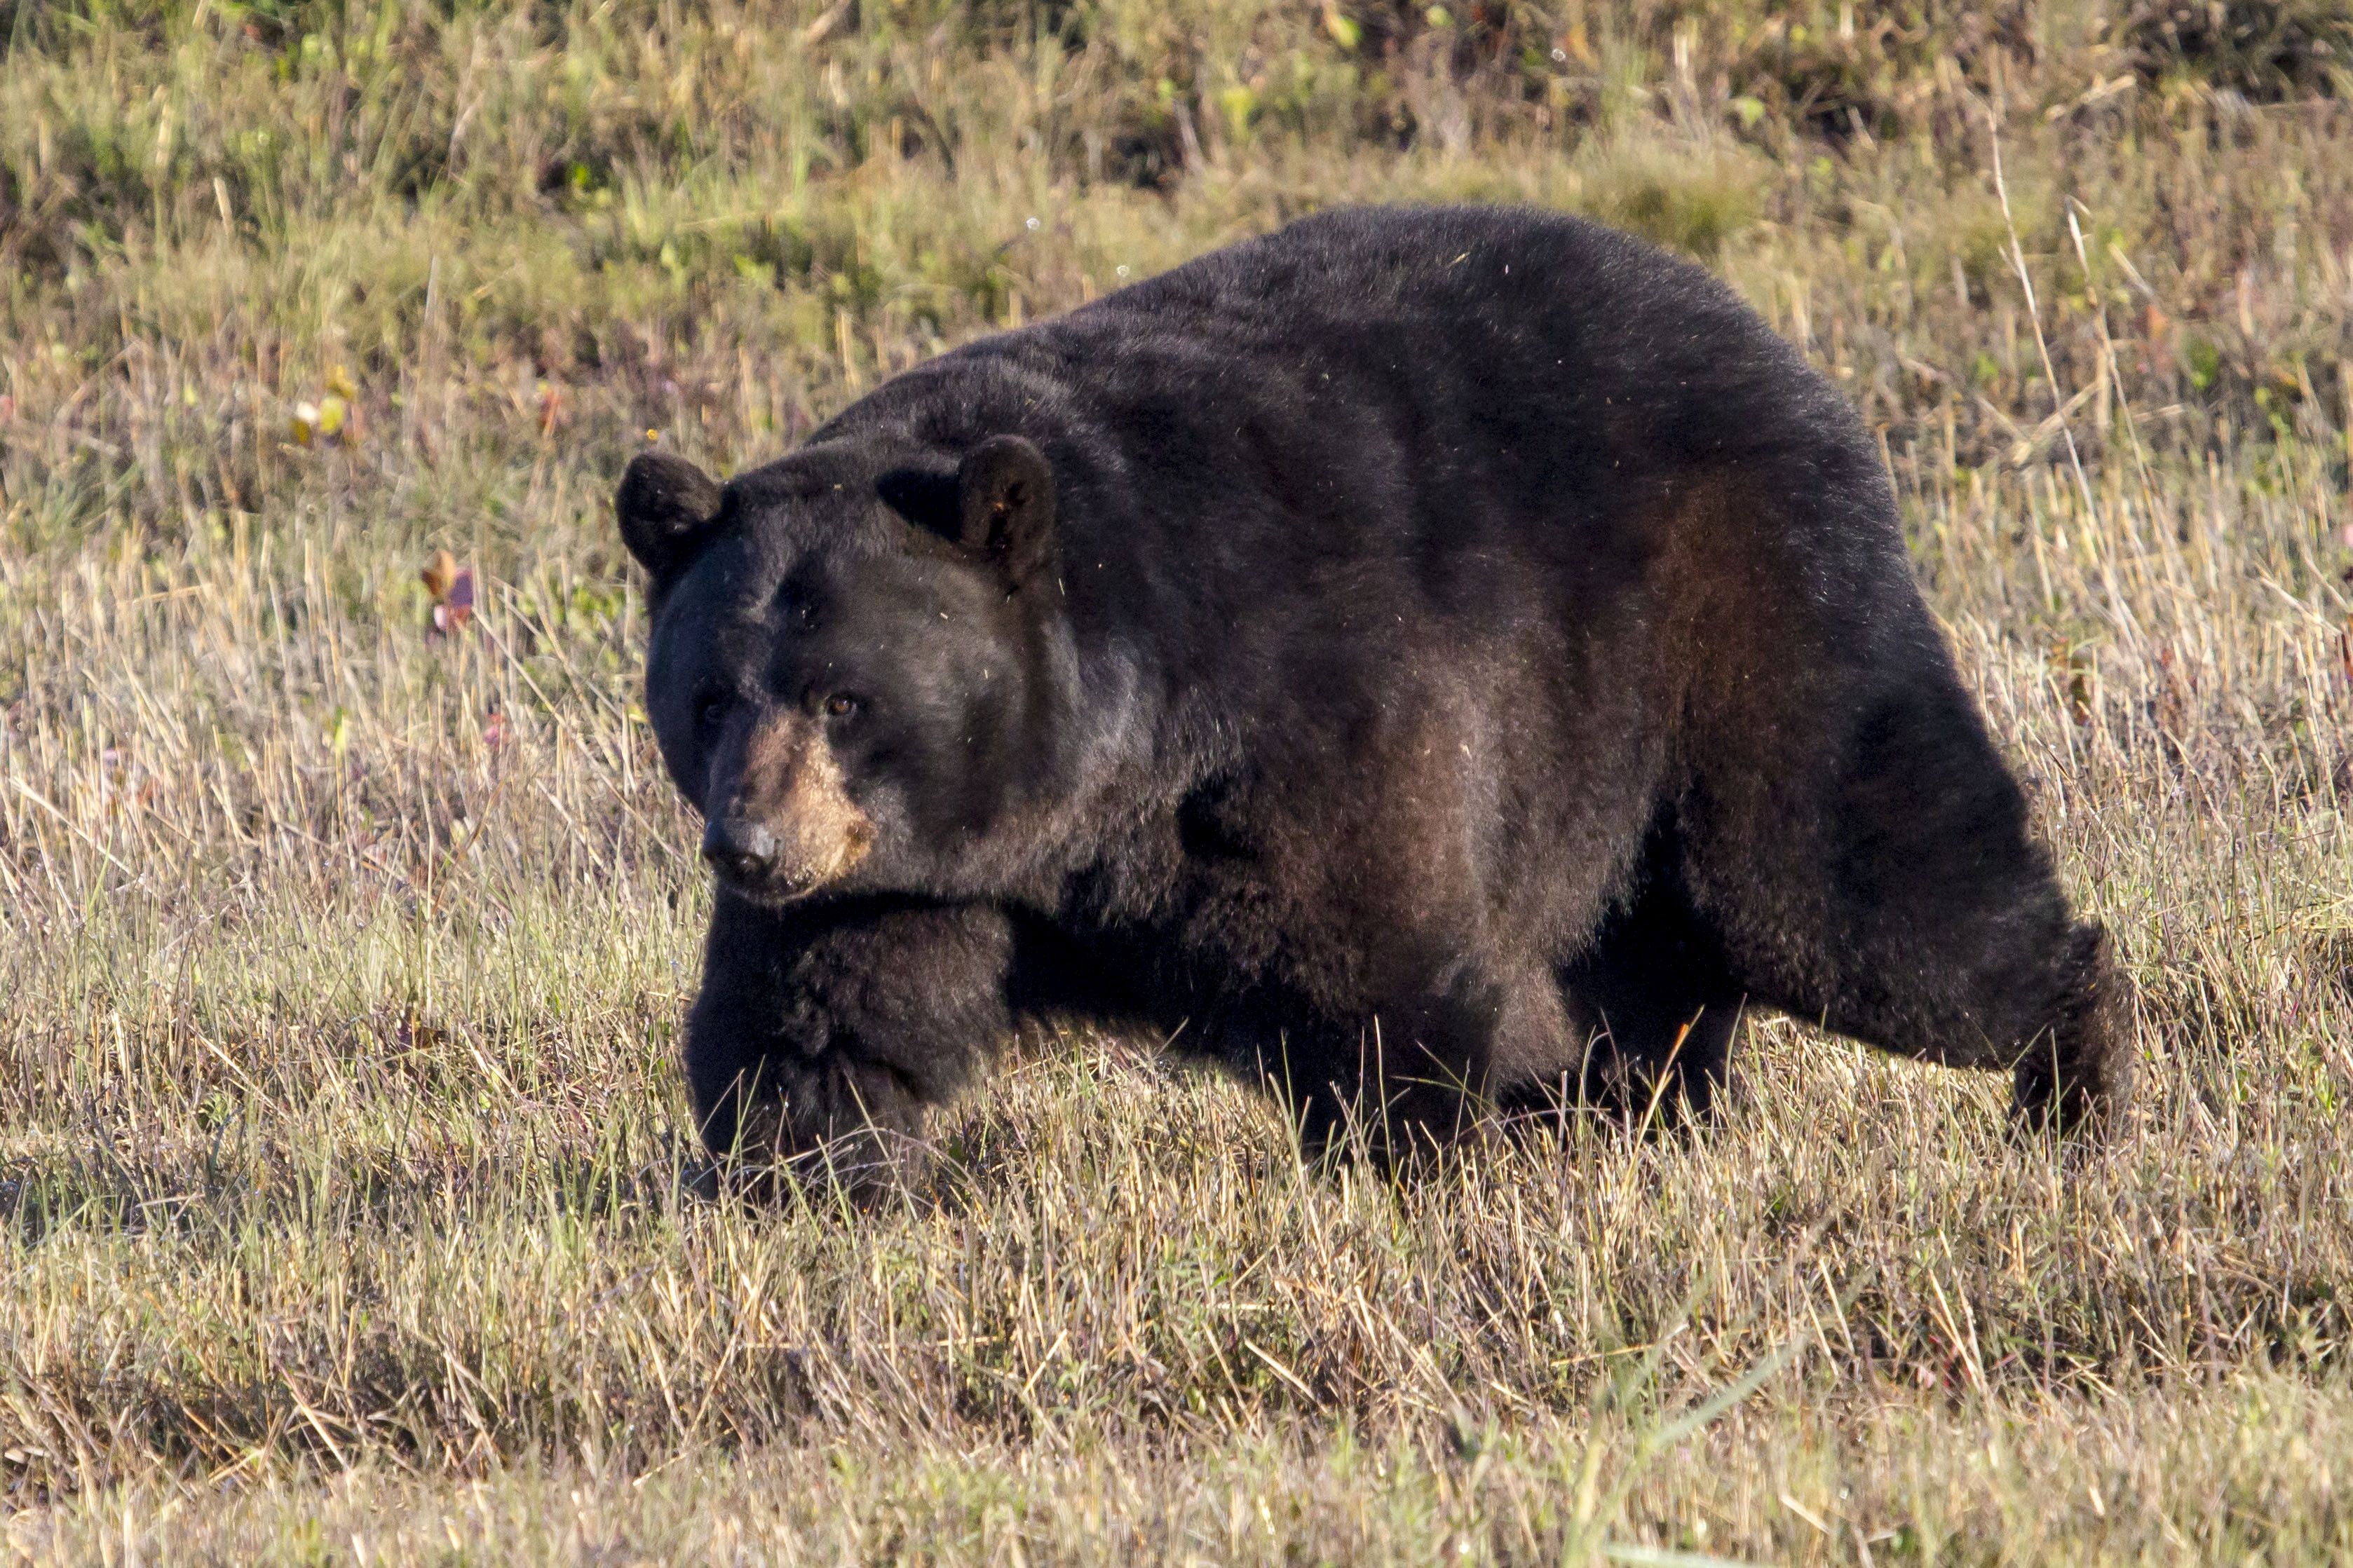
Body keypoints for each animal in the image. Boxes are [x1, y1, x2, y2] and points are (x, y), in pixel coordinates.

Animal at [616, 205, 2127, 1189]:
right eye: (709, 696)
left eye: (846, 697)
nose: (748, 846)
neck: (1096, 777)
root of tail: (1782, 350)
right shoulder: (915, 871)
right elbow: (824, 1021)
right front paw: (801, 1174)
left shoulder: (1302, 719)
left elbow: (1377, 968)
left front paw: (1412, 1170)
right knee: (1651, 966)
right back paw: (1632, 1115)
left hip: (1738, 621)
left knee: (1847, 889)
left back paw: (2073, 1069)